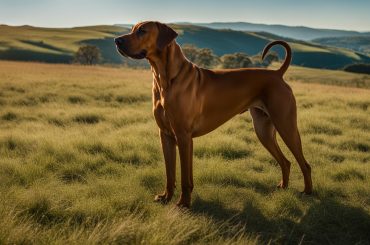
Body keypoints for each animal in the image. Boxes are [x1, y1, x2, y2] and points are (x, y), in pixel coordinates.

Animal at [115, 21, 312, 209]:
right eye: (132, 29)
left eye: (142, 31)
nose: (117, 40)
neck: (166, 79)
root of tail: (277, 74)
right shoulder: (166, 135)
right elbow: (170, 173)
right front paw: (166, 197)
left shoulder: (183, 137)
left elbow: (185, 177)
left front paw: (183, 203)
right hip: (263, 131)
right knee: (285, 162)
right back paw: (284, 186)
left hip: (286, 126)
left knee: (305, 164)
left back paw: (308, 192)